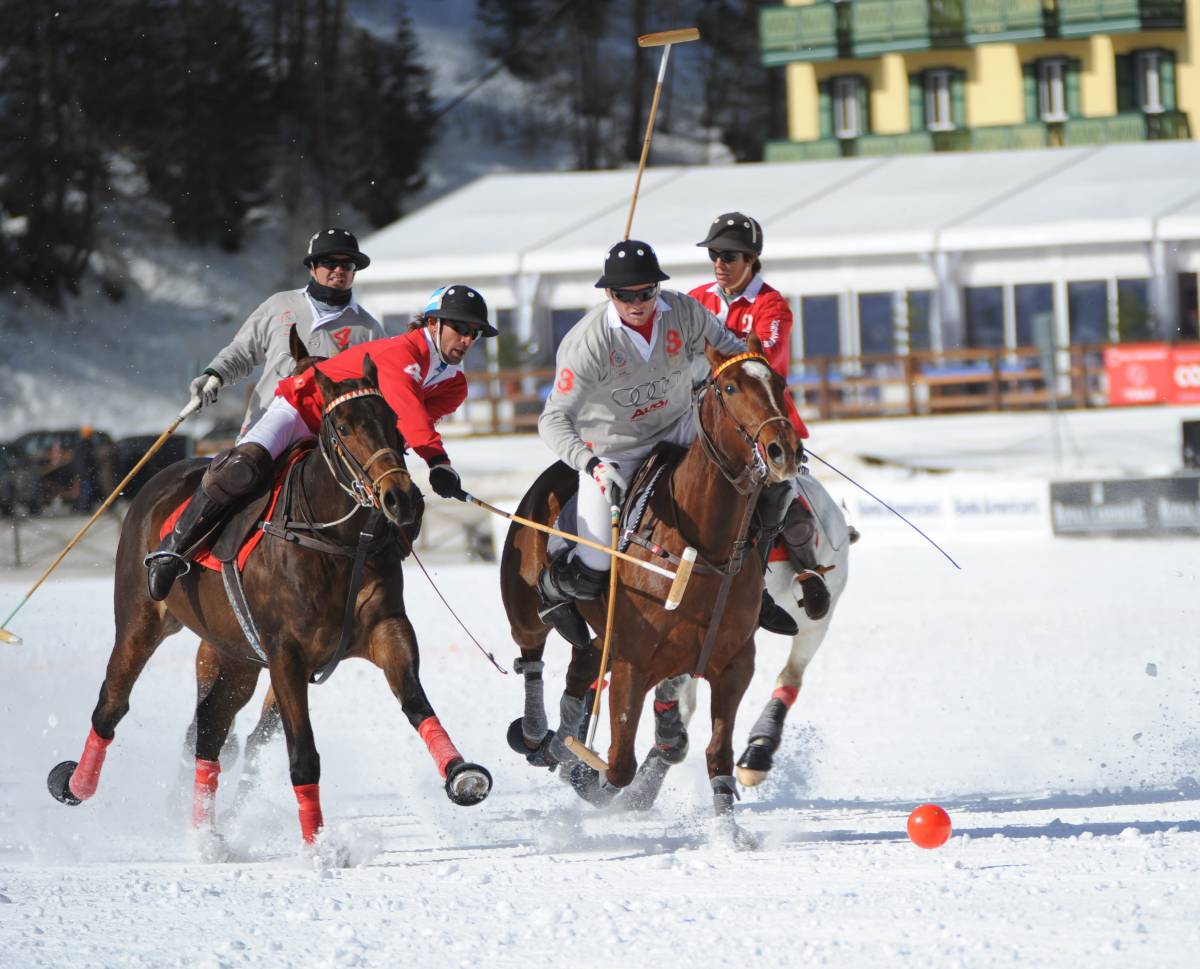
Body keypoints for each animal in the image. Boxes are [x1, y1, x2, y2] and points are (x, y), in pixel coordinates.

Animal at [45, 350, 487, 849]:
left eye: (394, 422)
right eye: (345, 426)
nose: (402, 499)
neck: (335, 541)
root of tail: (158, 479)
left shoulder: (386, 628)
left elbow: (415, 702)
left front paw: (460, 772)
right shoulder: (285, 654)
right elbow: (303, 754)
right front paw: (320, 850)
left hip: (234, 651)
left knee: (210, 726)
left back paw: (206, 838)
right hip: (141, 621)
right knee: (112, 706)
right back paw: (74, 784)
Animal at [501, 335, 801, 834]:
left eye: (780, 382)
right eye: (731, 388)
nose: (785, 451)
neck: (704, 546)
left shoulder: (734, 663)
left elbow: (716, 752)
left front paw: (730, 834)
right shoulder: (632, 662)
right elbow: (619, 763)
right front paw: (589, 775)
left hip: (599, 637)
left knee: (581, 666)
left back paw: (558, 742)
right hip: (525, 606)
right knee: (532, 656)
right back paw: (536, 733)